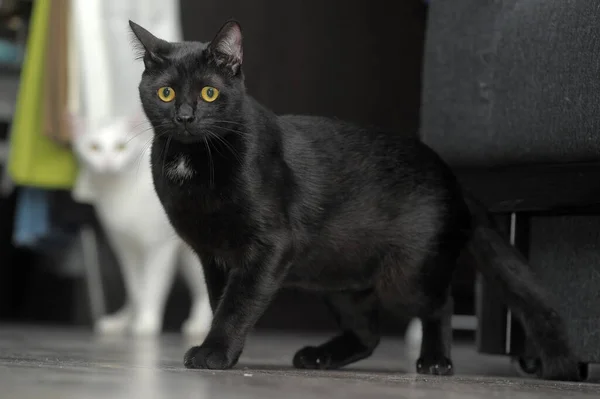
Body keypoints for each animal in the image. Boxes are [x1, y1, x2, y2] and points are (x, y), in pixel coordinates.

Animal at [70, 111, 212, 338]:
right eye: (94, 147)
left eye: (121, 147)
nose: (107, 162)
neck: (119, 194)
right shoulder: (125, 249)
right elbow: (136, 289)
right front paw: (134, 319)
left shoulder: (160, 248)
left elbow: (152, 286)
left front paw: (146, 323)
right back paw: (119, 322)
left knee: (202, 290)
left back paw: (199, 325)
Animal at [129, 19, 584, 382]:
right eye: (166, 94)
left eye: (208, 93)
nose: (185, 117)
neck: (194, 161)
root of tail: (453, 176)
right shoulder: (213, 256)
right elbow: (222, 300)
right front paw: (225, 351)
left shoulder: (270, 246)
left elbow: (239, 303)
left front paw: (214, 353)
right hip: (338, 274)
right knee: (369, 332)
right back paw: (319, 356)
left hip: (406, 278)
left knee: (440, 304)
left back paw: (436, 360)